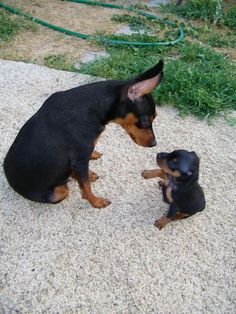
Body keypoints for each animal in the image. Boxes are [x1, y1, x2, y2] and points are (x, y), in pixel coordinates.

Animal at [3, 61, 164, 209]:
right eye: (145, 121)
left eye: (155, 117)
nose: (154, 144)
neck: (92, 109)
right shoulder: (80, 160)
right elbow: (86, 189)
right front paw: (96, 202)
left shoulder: (80, 161)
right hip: (58, 193)